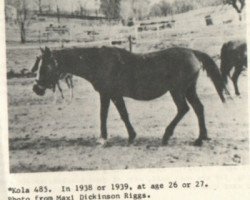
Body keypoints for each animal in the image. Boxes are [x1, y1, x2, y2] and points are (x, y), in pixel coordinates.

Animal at [32, 47, 228, 147]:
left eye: (46, 66)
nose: (36, 88)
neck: (99, 61)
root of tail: (192, 52)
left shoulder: (110, 94)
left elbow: (113, 115)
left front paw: (109, 138)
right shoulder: (110, 94)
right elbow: (113, 114)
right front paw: (120, 136)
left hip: (178, 90)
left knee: (184, 109)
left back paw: (166, 136)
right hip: (188, 89)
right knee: (198, 108)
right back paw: (201, 138)